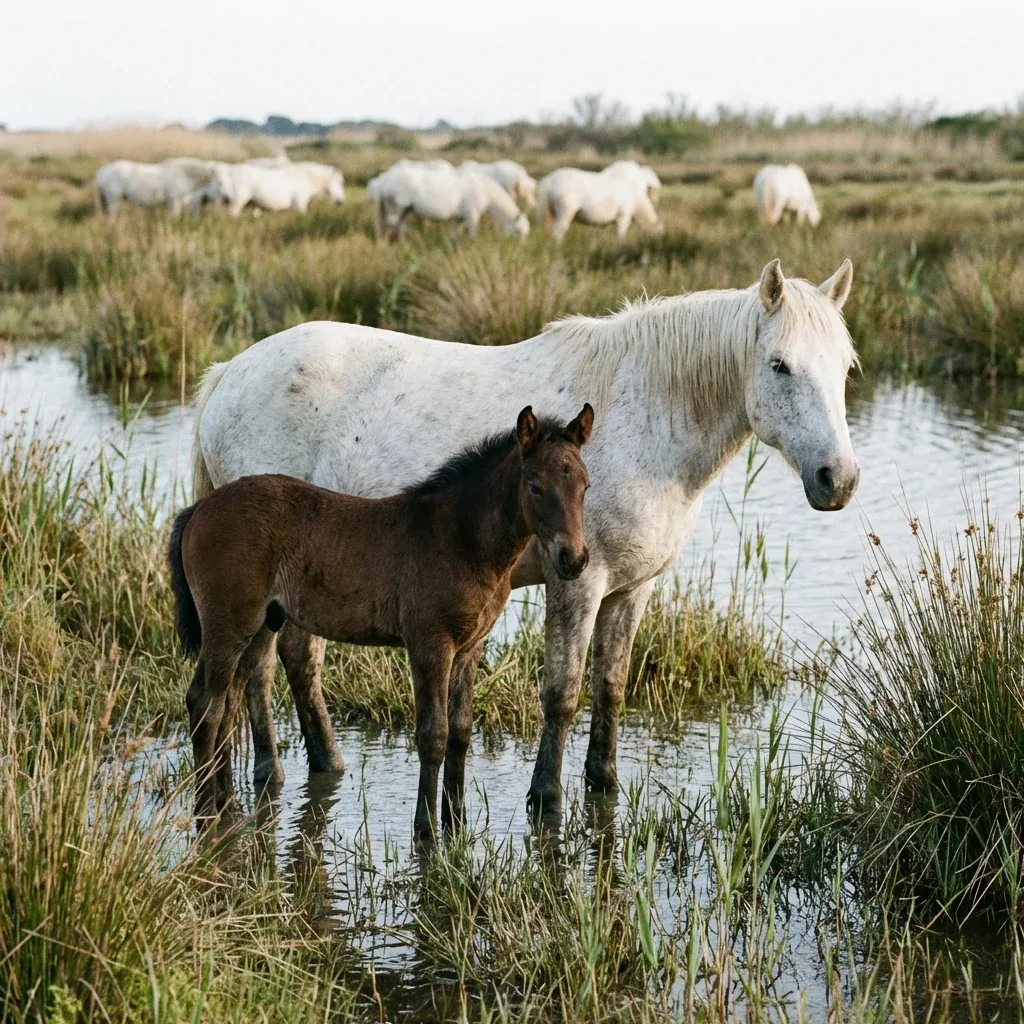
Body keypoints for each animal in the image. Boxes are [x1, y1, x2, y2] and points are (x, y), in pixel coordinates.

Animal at [170, 406, 593, 839]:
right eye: (535, 486)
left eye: (585, 485)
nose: (573, 559)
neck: (460, 538)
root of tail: (197, 509)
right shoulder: (430, 644)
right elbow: (432, 735)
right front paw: (426, 830)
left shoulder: (470, 646)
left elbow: (460, 732)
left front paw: (457, 822)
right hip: (227, 625)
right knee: (205, 704)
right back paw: (205, 815)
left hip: (259, 626)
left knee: (228, 701)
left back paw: (225, 804)